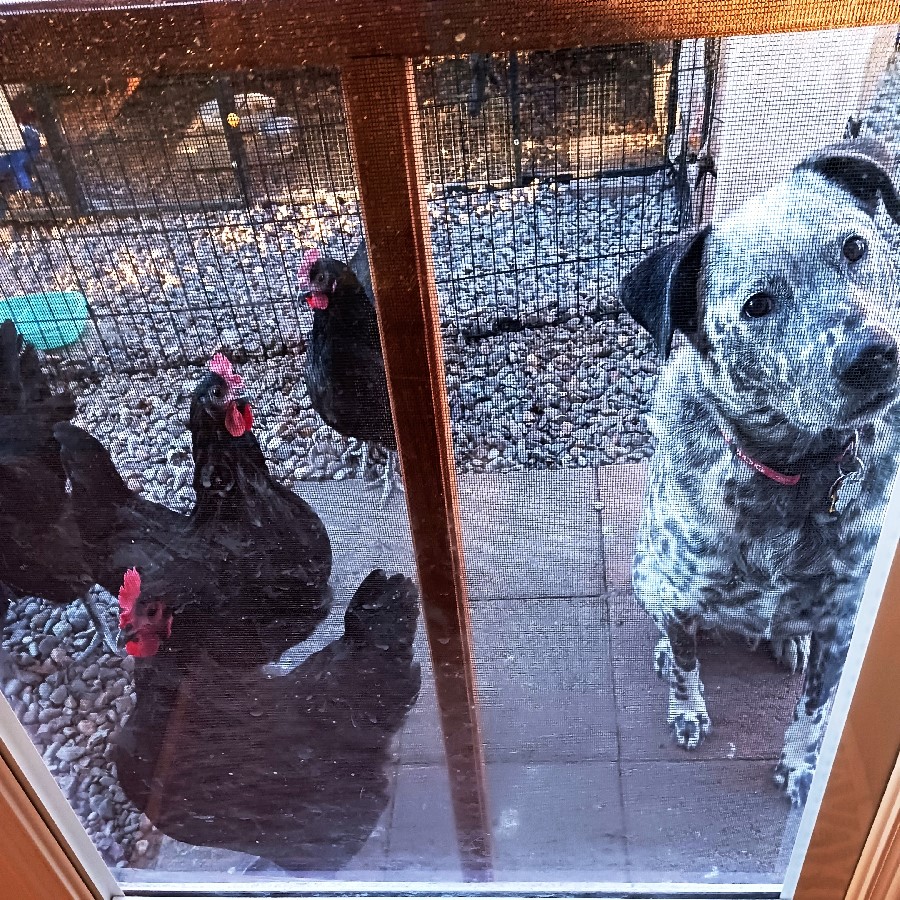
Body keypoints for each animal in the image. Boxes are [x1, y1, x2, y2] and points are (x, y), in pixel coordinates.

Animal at [619, 139, 900, 804]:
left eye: (855, 247)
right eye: (757, 305)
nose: (875, 356)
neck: (792, 472)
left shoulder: (842, 626)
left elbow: (815, 712)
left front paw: (800, 766)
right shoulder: (677, 587)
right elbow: (687, 668)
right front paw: (687, 708)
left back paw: (785, 639)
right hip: (645, 569)